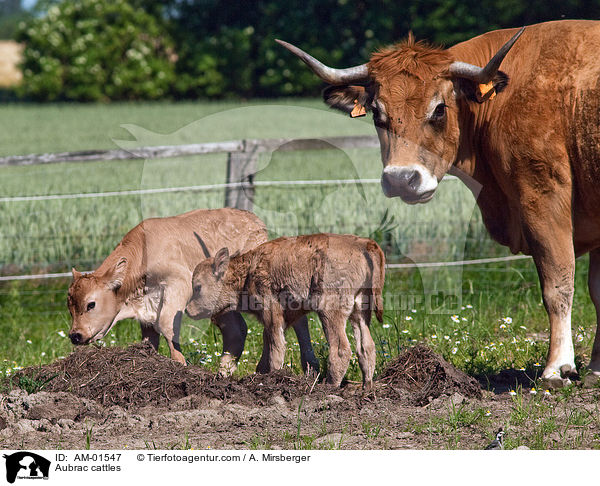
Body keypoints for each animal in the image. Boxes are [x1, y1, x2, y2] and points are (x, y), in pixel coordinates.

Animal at [67, 208, 318, 376]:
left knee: (296, 322)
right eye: (70, 308)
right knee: (237, 330)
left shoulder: (178, 286)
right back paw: (224, 373)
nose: (75, 335)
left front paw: (179, 365)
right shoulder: (146, 309)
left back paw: (307, 367)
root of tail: (252, 219)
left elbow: (167, 326)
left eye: (91, 304)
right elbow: (150, 337)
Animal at [185, 234, 386, 390]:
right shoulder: (288, 317)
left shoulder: (272, 313)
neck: (248, 271)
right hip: (360, 311)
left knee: (341, 349)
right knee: (366, 347)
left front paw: (272, 377)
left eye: (198, 287)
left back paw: (328, 386)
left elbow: (276, 347)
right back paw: (366, 387)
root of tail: (365, 244)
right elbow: (272, 344)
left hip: (330, 312)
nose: (188, 310)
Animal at [282, 19, 600, 388]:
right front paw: (595, 368)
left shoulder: (542, 195)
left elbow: (557, 284)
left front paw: (558, 368)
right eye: (376, 112)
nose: (400, 179)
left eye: (438, 109)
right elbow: (597, 291)